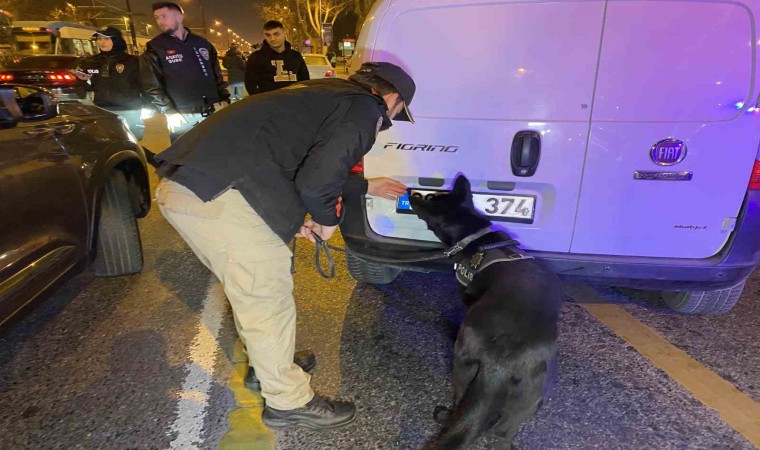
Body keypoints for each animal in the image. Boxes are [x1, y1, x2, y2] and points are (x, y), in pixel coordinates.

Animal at [410, 176, 564, 450]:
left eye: (430, 198)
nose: (413, 194)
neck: (476, 237)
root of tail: (501, 362)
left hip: (462, 368)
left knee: (460, 400)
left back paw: (446, 415)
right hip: (530, 399)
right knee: (500, 434)